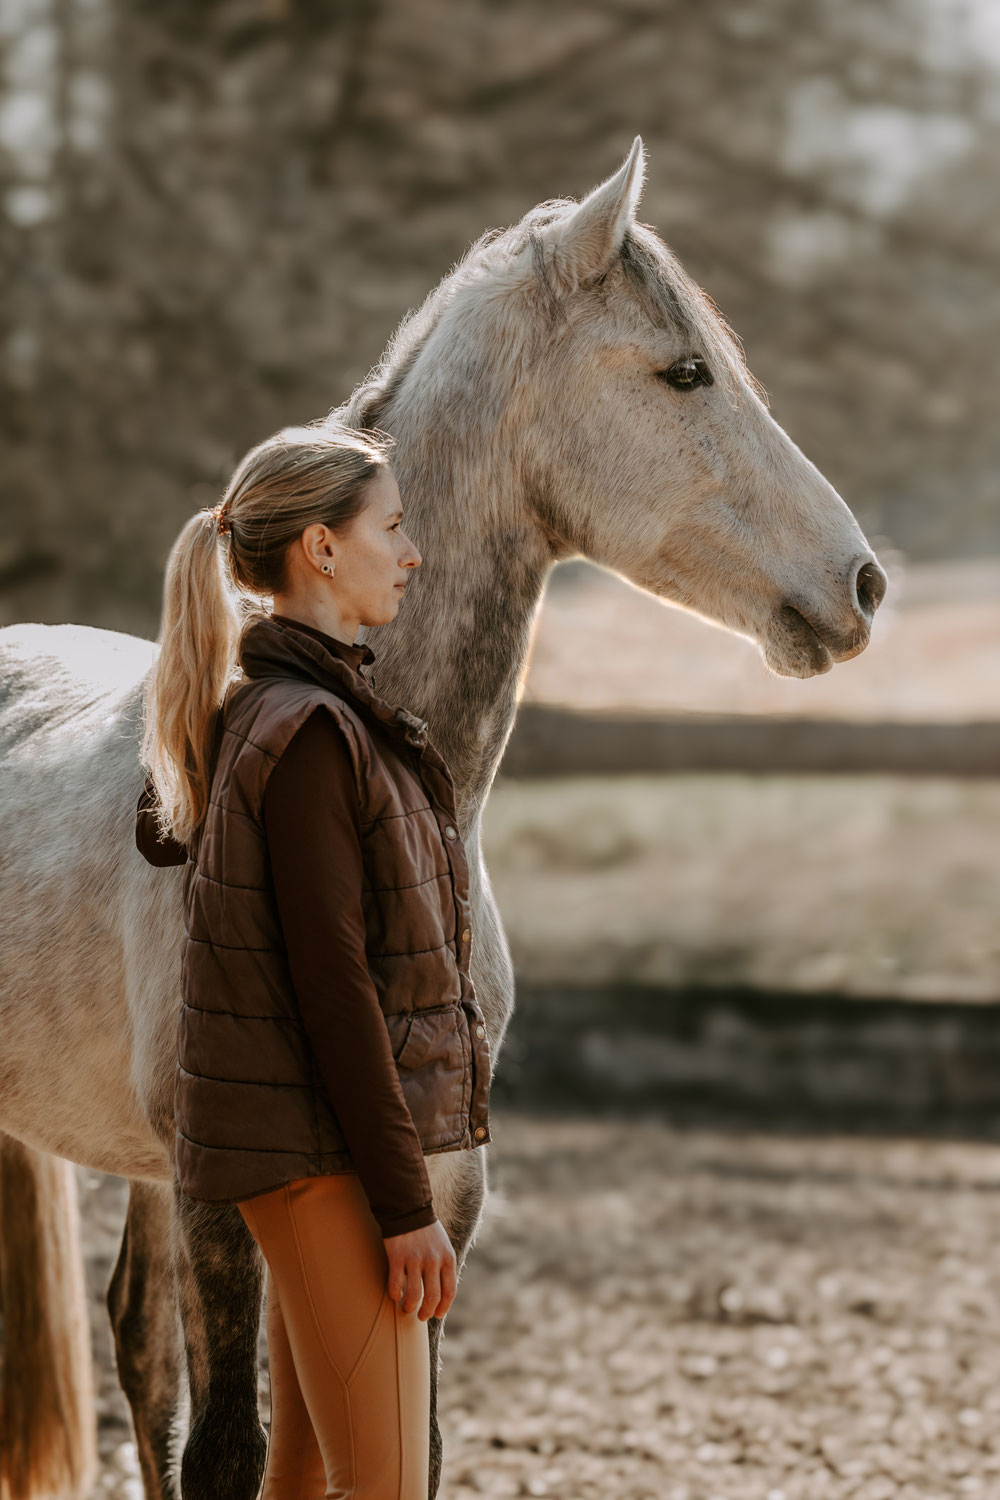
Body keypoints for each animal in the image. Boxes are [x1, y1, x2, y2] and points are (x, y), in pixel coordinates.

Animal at [0, 136, 886, 1499]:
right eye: (684, 371)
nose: (862, 584)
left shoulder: (437, 1198)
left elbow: (396, 1440)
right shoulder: (226, 1194)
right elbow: (233, 1448)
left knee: (136, 1339)